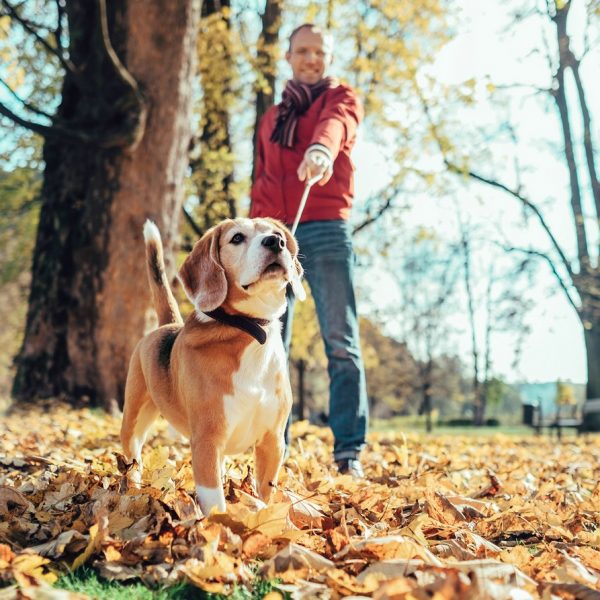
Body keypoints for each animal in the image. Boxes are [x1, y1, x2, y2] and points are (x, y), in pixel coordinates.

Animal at [120, 219, 304, 516]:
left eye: (278, 235)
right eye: (237, 238)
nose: (275, 242)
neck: (251, 331)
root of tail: (168, 324)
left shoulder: (273, 441)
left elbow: (265, 494)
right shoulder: (206, 440)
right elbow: (216, 503)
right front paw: (220, 526)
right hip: (133, 419)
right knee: (132, 458)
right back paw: (133, 488)